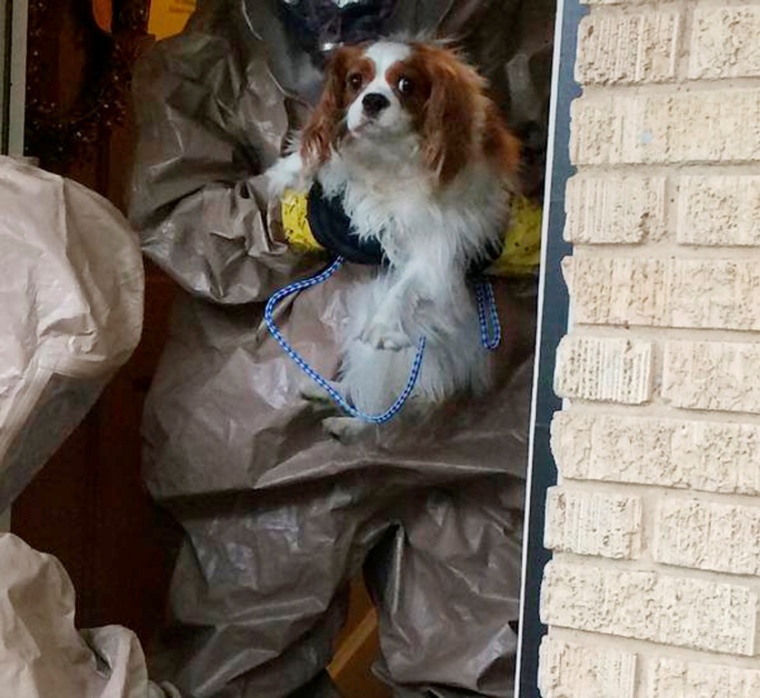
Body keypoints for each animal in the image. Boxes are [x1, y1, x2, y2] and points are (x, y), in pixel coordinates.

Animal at [268, 39, 524, 440]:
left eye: (406, 85)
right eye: (355, 81)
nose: (372, 100)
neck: (387, 157)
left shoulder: (442, 240)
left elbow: (409, 281)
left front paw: (385, 324)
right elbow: (326, 157)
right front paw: (291, 169)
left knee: (381, 404)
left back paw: (347, 423)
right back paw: (326, 392)